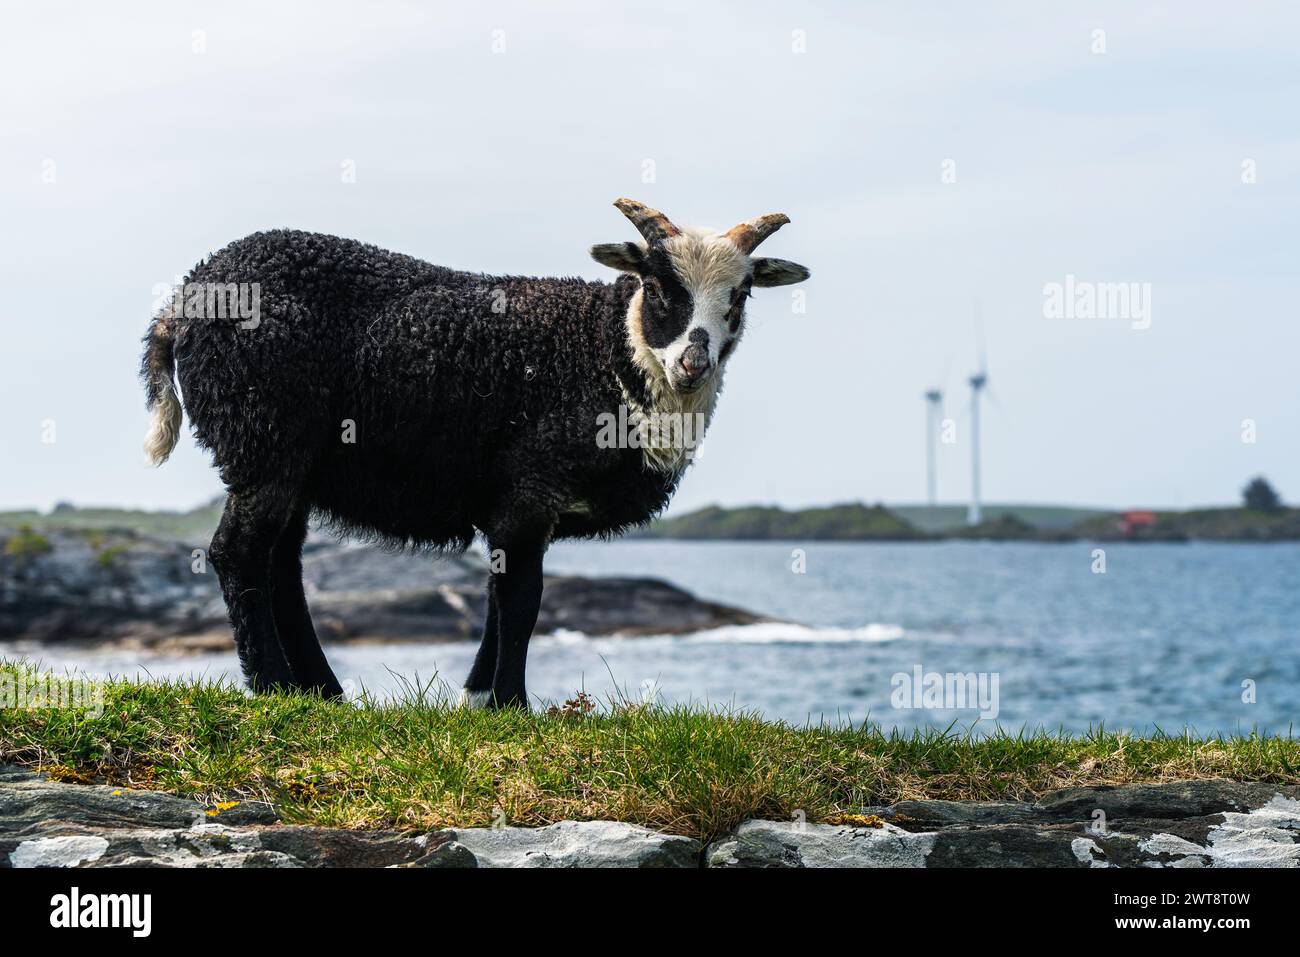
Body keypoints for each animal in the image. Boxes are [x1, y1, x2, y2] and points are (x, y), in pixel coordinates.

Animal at [144, 201, 811, 707]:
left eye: (741, 296)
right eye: (655, 286)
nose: (693, 363)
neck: (606, 352)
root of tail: (181, 302)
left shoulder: (516, 502)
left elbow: (498, 595)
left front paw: (477, 696)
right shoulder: (531, 485)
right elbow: (521, 600)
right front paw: (513, 705)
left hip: (289, 461)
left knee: (282, 564)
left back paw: (319, 691)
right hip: (263, 435)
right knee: (239, 554)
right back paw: (272, 686)